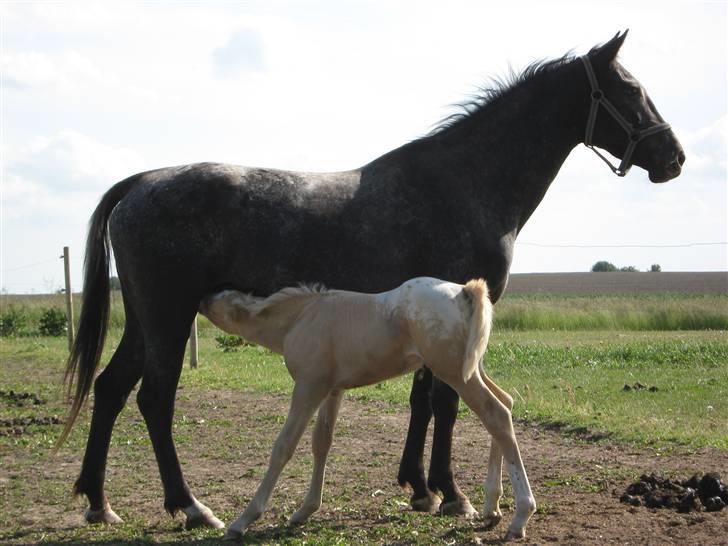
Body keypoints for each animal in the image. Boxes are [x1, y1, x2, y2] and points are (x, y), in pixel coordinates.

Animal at [199, 276, 536, 540]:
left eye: (223, 295)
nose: (202, 297)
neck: (303, 316)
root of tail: (466, 291)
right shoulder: (332, 390)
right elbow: (321, 443)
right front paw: (305, 510)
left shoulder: (309, 387)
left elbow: (284, 446)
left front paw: (243, 520)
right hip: (472, 368)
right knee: (505, 403)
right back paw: (492, 507)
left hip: (455, 373)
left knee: (496, 413)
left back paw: (520, 516)